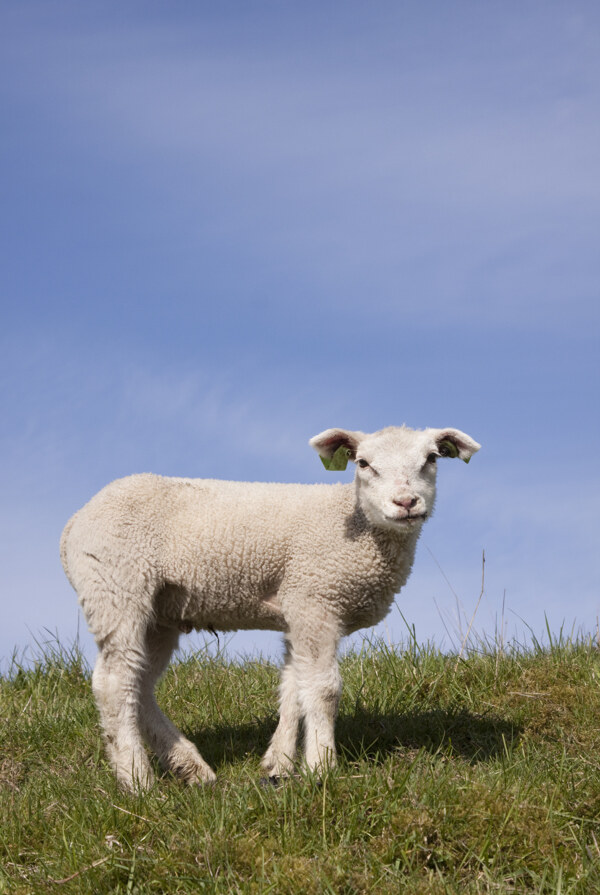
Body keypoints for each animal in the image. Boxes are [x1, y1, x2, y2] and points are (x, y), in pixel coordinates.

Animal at [61, 424, 480, 788]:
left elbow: (294, 687)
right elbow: (323, 689)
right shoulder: (316, 599)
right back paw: (137, 782)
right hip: (118, 587)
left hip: (159, 614)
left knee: (140, 684)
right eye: (363, 464)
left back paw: (189, 767)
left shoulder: (298, 606)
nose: (406, 502)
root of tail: (73, 525)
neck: (355, 523)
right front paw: (321, 767)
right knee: (114, 682)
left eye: (431, 459)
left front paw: (280, 765)